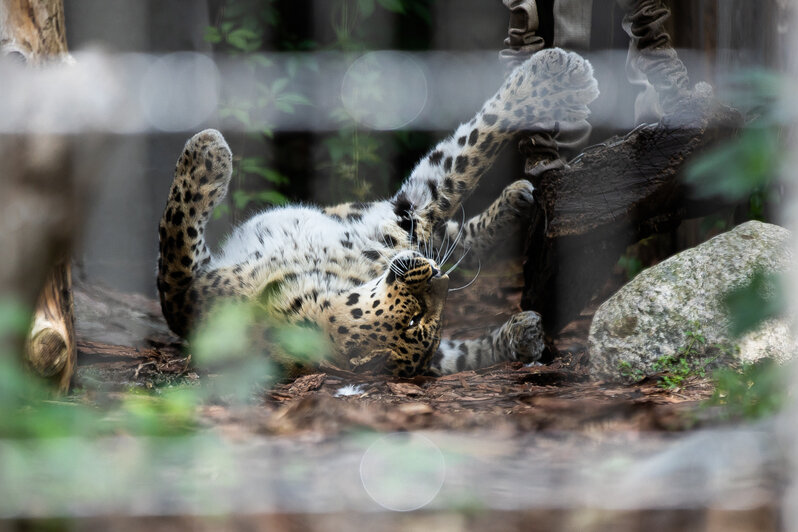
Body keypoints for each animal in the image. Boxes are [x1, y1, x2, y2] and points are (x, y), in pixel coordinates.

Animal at [156, 46, 596, 378]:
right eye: (416, 320)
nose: (439, 281)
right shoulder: (185, 292)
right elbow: (174, 239)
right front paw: (206, 153)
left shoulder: (399, 223)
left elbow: (466, 154)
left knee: (454, 239)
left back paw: (517, 203)